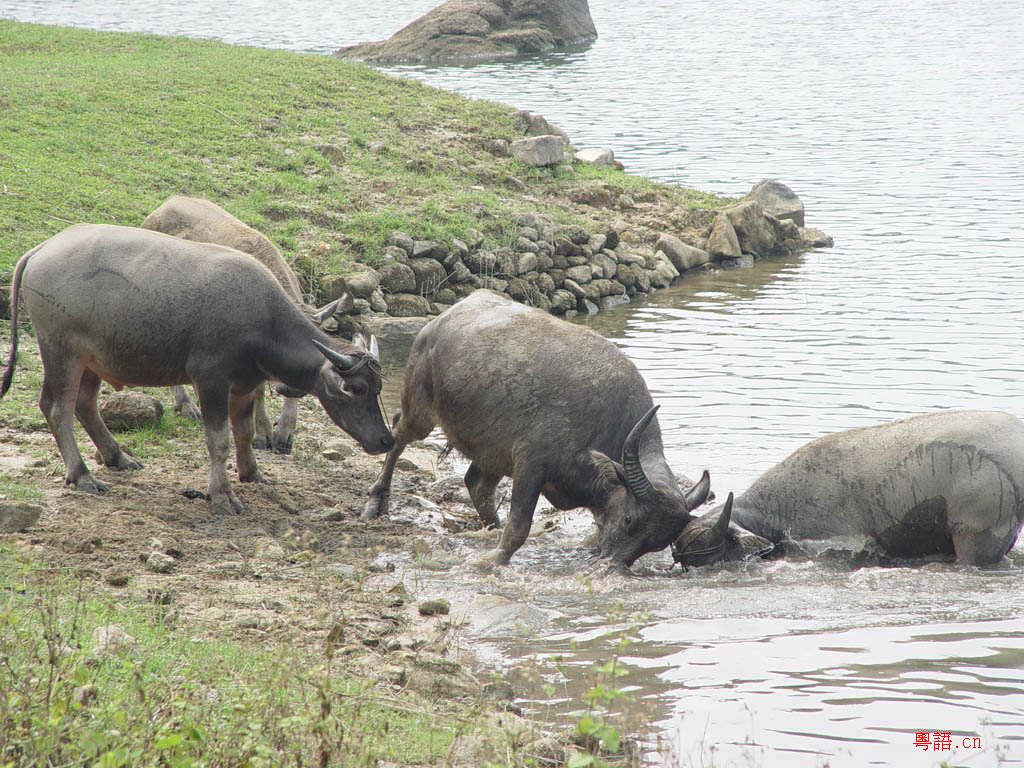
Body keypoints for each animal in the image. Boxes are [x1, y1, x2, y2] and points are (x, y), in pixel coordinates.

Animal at [3, 224, 391, 518]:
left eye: (378, 387)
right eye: (354, 388)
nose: (385, 439)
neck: (261, 321)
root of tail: (42, 249)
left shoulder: (245, 386)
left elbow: (244, 433)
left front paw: (253, 474)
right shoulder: (211, 381)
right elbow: (218, 440)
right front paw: (222, 496)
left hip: (92, 359)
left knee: (84, 404)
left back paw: (117, 457)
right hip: (61, 352)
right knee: (58, 408)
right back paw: (82, 475)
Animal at [364, 290, 708, 569]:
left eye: (657, 543)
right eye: (629, 519)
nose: (611, 565)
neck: (603, 424)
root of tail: (442, 319)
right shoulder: (531, 464)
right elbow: (519, 525)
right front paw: (493, 560)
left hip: (492, 451)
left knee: (476, 483)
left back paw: (490, 525)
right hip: (420, 410)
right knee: (397, 436)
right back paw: (375, 501)